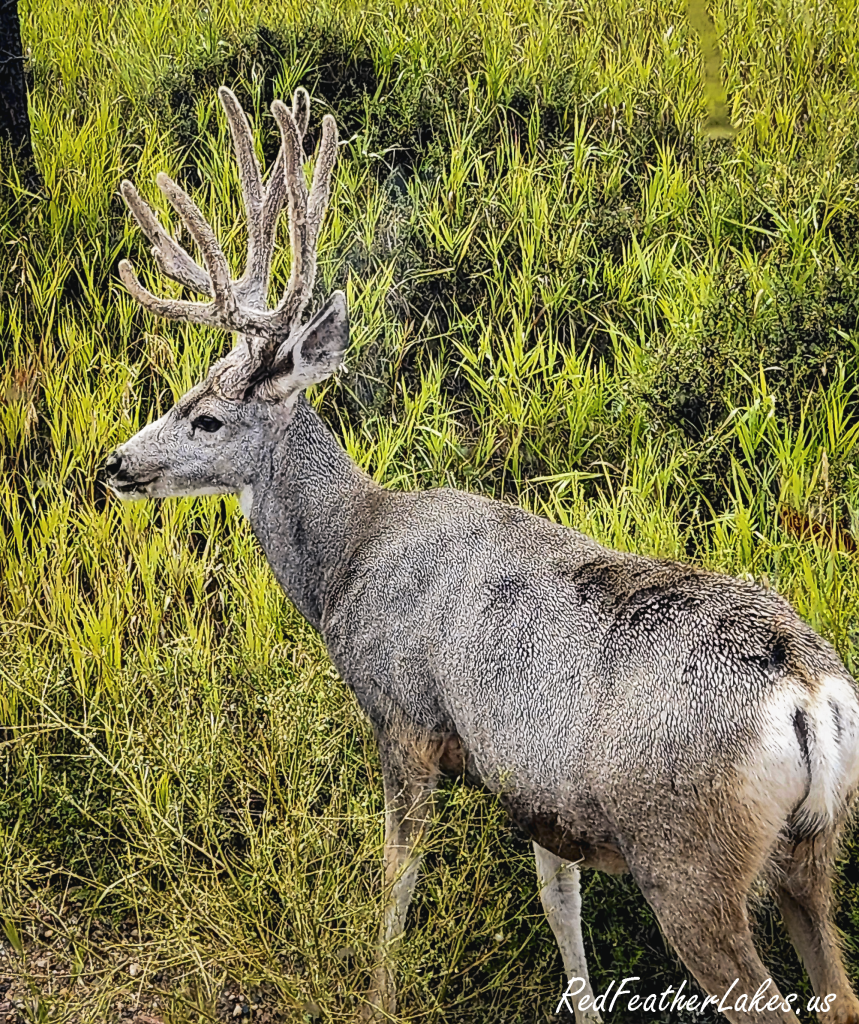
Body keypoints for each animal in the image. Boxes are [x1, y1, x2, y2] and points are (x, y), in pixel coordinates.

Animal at [104, 86, 859, 1024]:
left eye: (204, 415)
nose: (114, 464)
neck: (349, 558)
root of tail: (805, 689)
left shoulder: (402, 716)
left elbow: (396, 876)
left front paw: (379, 994)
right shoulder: (539, 792)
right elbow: (558, 903)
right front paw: (580, 1007)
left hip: (687, 856)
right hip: (811, 851)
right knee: (839, 992)